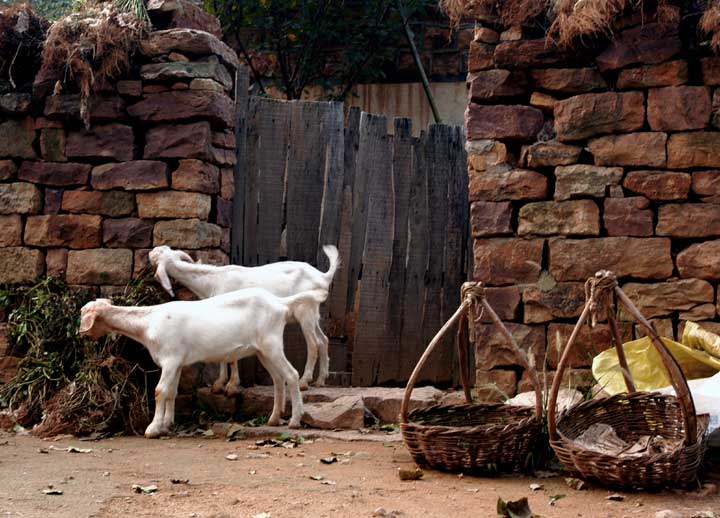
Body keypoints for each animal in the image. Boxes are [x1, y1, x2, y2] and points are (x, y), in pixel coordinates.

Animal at [78, 288, 326, 438]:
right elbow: (172, 392)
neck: (148, 323)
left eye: (83, 313)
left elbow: (159, 391)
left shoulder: (170, 359)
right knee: (277, 379)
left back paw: (294, 420)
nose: (82, 335)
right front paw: (167, 424)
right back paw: (274, 419)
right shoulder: (177, 363)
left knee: (291, 375)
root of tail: (280, 303)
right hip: (263, 349)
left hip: (271, 343)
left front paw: (153, 428)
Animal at [148, 246, 338, 396]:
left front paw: (231, 386)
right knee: (323, 340)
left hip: (305, 311)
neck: (212, 282)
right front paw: (219, 384)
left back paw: (305, 381)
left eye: (158, 255)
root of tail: (324, 277)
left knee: (313, 344)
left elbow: (232, 358)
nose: (149, 253)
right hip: (314, 313)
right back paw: (321, 380)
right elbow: (223, 352)